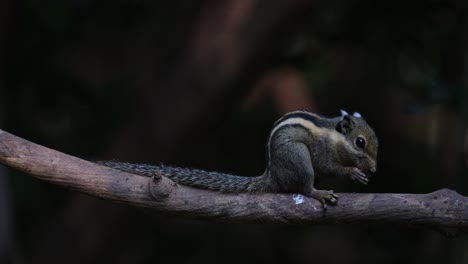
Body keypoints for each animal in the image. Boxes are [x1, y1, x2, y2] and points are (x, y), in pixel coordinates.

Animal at [97, 110, 378, 207]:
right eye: (360, 142)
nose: (375, 169)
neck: (335, 137)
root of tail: (272, 176)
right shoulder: (322, 151)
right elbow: (328, 166)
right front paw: (352, 172)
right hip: (298, 158)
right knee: (304, 187)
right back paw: (318, 192)